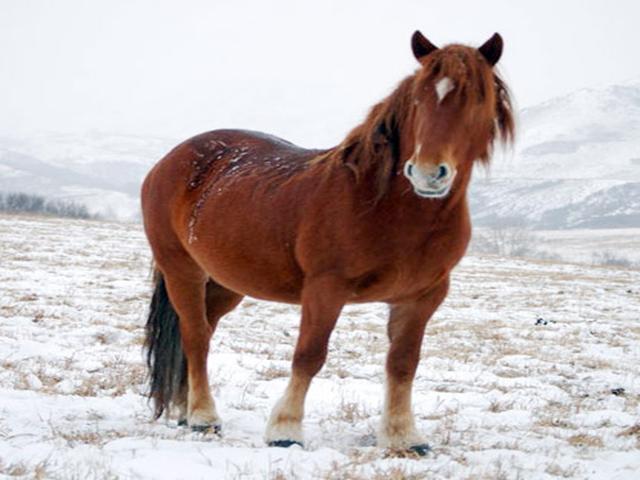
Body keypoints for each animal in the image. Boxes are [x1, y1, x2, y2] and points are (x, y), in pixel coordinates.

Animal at [141, 31, 514, 455]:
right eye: (418, 98)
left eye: (478, 100)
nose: (427, 173)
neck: (387, 205)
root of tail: (169, 161)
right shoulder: (326, 288)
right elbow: (309, 355)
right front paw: (286, 430)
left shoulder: (422, 297)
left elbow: (403, 363)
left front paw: (404, 437)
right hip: (182, 271)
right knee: (196, 337)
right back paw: (204, 418)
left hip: (224, 282)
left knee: (202, 331)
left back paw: (186, 411)